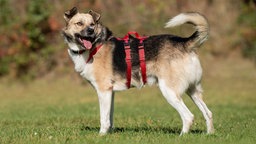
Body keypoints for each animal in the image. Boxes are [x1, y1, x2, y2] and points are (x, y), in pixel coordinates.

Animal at [62, 6, 214, 135]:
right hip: (192, 90)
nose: (90, 31)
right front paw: (109, 134)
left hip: (169, 91)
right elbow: (110, 117)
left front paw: (101, 135)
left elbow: (103, 119)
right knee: (208, 113)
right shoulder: (110, 93)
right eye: (79, 23)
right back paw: (209, 134)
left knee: (188, 116)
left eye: (92, 24)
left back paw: (182, 136)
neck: (93, 47)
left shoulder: (103, 91)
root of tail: (184, 43)